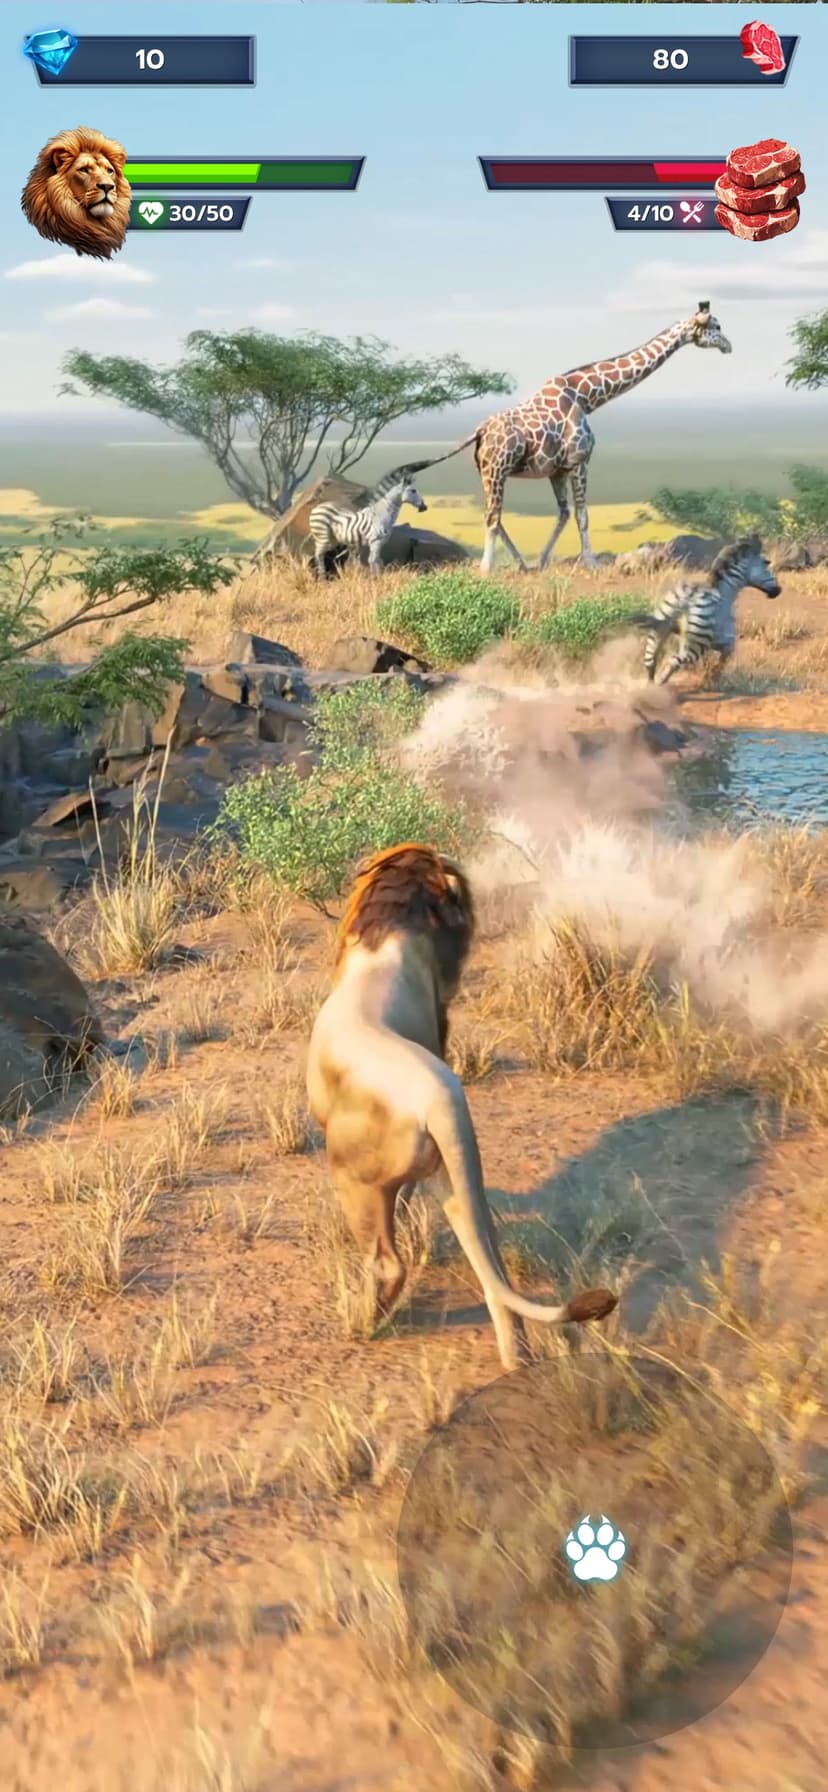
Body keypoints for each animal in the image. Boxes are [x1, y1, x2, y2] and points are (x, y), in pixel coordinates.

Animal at [306, 843, 617, 1370]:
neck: (393, 931)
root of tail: (441, 1097)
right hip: (456, 1178)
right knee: (496, 1273)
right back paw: (518, 1362)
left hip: (353, 1176)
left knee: (388, 1263)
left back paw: (363, 1322)